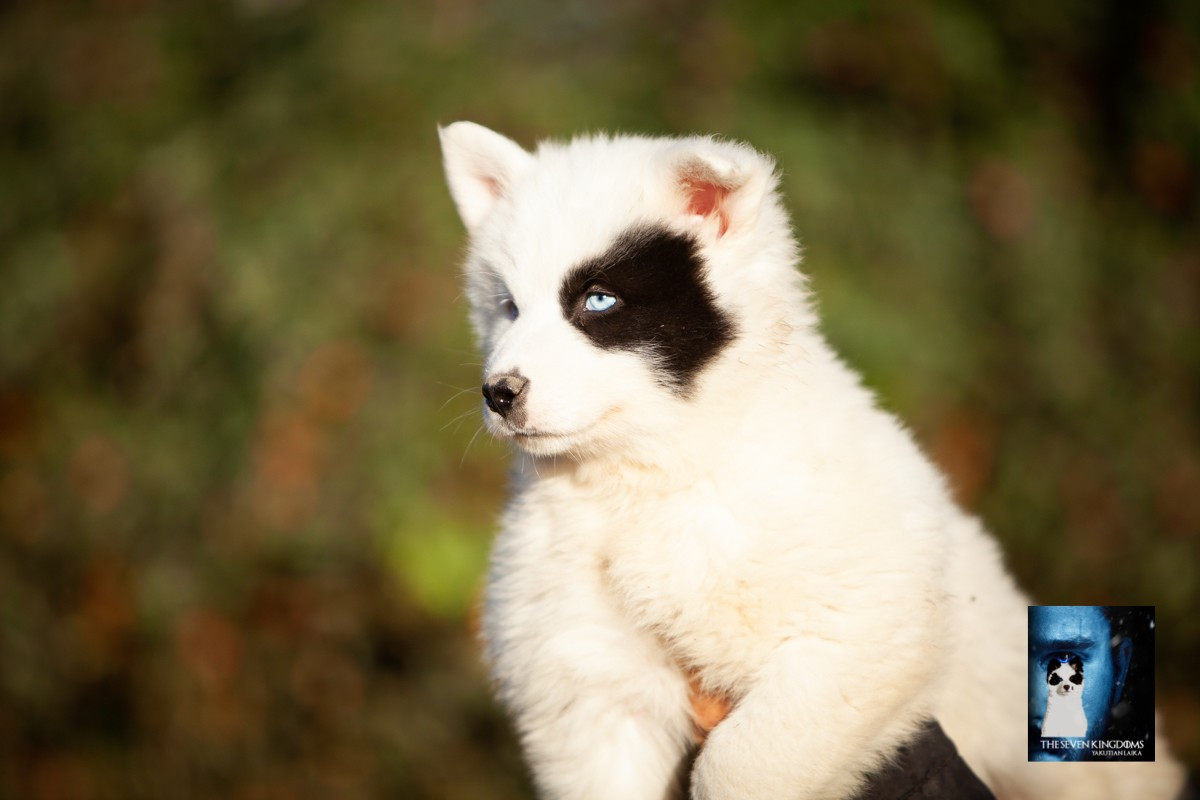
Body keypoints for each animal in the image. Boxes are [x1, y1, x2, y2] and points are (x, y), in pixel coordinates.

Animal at [438, 121, 1186, 800]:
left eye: (599, 300)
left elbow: (742, 764)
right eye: (508, 307)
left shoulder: (858, 639)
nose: (498, 393)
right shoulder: (586, 691)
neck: (654, 475)